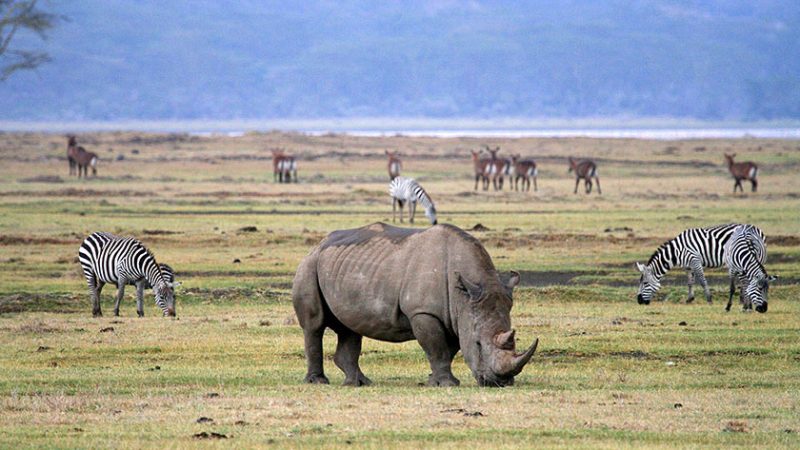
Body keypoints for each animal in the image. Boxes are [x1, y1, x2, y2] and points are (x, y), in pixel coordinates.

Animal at [636, 224, 764, 306]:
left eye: (645, 283)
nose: (639, 301)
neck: (677, 251)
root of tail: (754, 228)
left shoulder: (695, 261)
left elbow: (702, 281)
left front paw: (709, 299)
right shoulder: (688, 266)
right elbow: (690, 282)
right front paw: (689, 299)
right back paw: (743, 300)